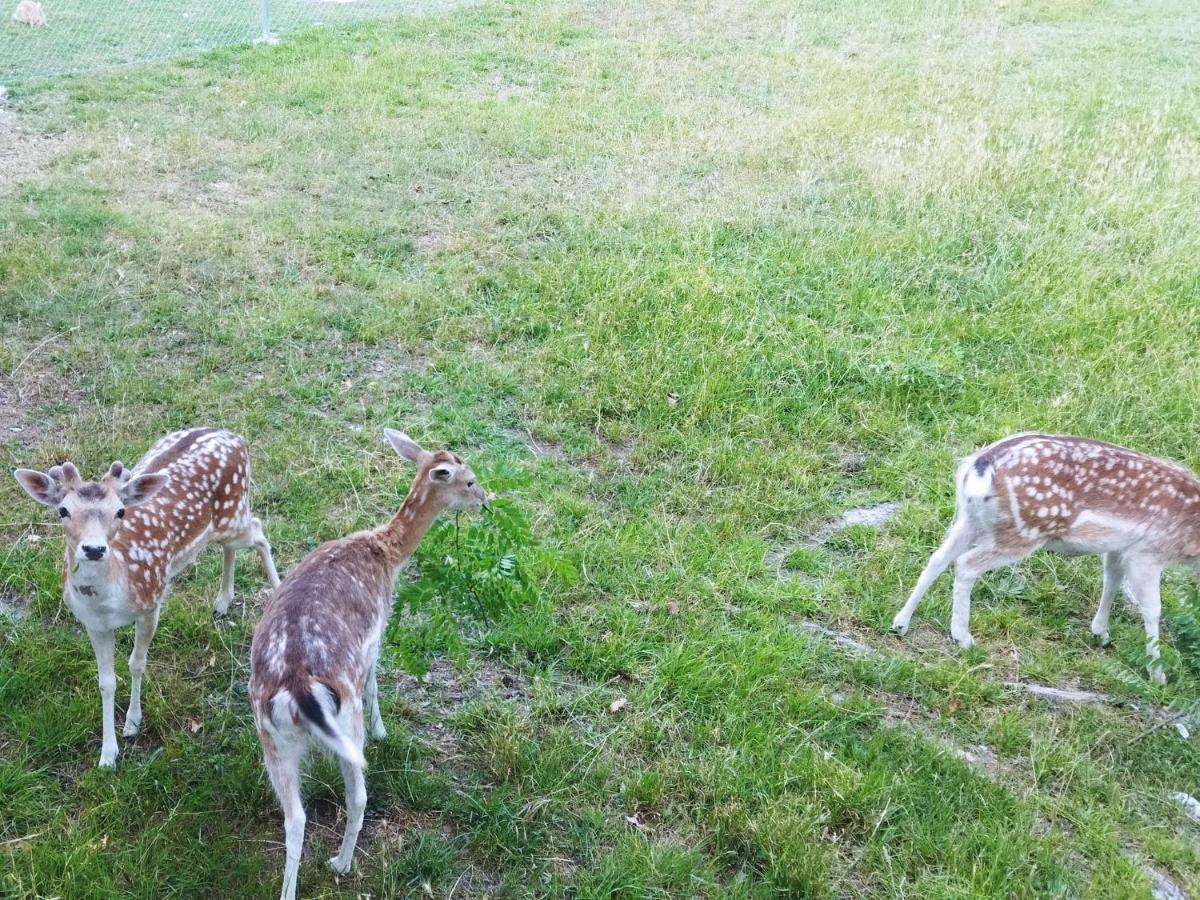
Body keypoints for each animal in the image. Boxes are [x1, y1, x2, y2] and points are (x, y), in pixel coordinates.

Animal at [15, 429, 280, 768]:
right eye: (63, 510)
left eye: (120, 511)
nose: (94, 549)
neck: (108, 600)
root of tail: (234, 436)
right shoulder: (93, 624)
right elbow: (106, 681)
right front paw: (107, 755)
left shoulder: (151, 602)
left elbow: (137, 663)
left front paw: (132, 723)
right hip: (224, 526)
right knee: (233, 545)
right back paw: (222, 600)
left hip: (234, 514)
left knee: (259, 530)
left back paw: (278, 591)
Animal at [248, 429, 487, 900]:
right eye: (468, 479)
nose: (486, 499)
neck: (384, 553)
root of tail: (298, 689)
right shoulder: (376, 632)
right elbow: (377, 680)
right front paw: (383, 730)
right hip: (344, 717)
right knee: (357, 794)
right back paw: (341, 863)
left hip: (272, 739)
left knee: (294, 817)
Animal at [892, 434, 1200, 681]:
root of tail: (977, 468)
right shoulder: (1147, 553)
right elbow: (1153, 609)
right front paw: (1158, 675)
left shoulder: (1117, 548)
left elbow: (1111, 582)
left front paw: (1100, 633)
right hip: (1024, 532)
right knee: (966, 564)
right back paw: (963, 637)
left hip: (972, 520)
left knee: (938, 558)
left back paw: (901, 623)